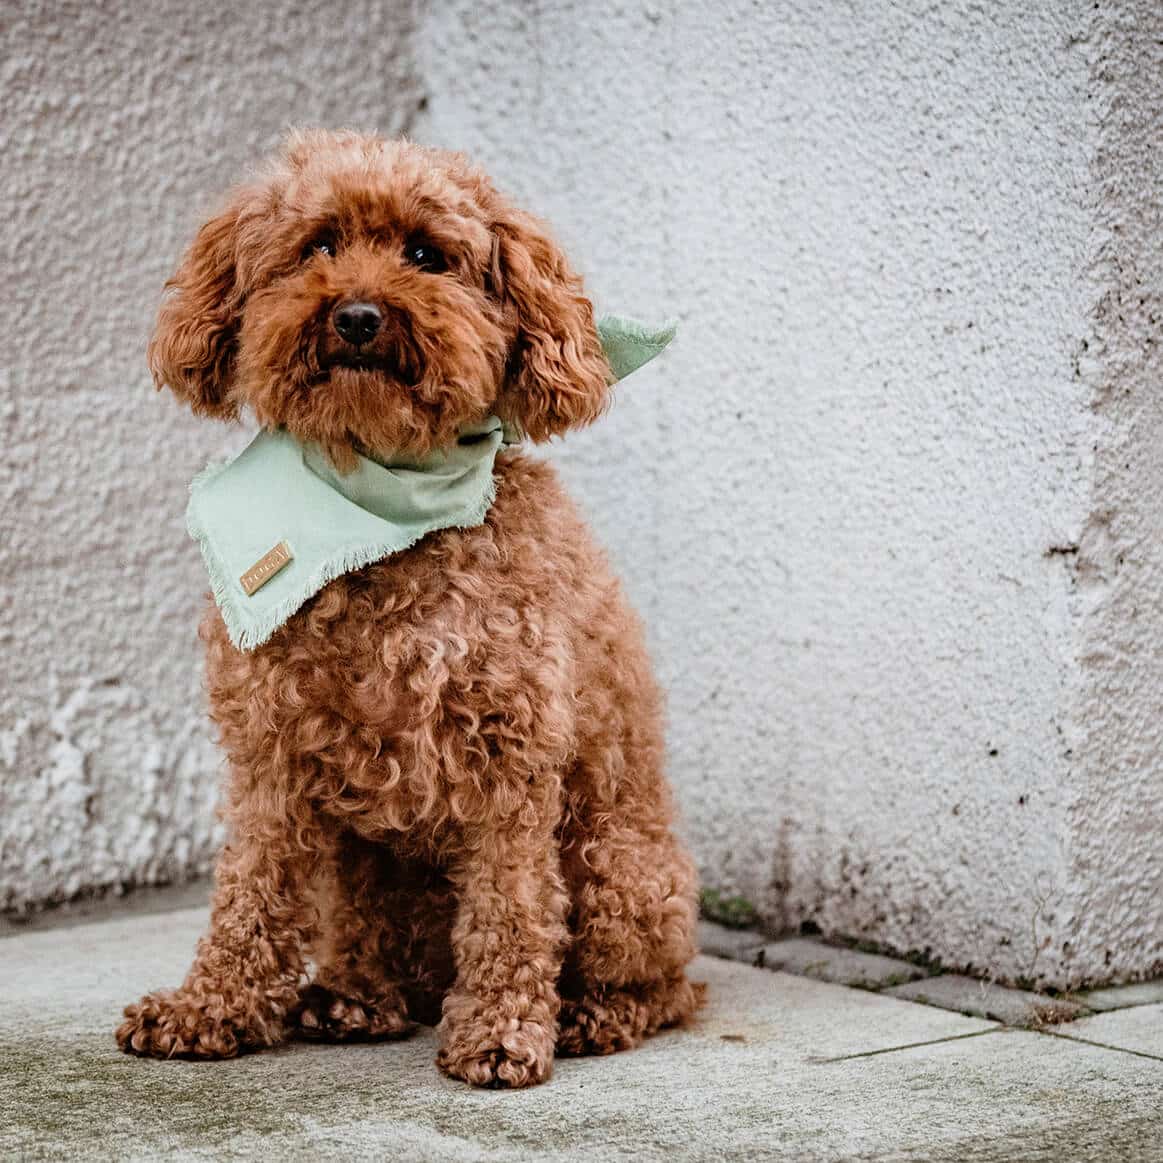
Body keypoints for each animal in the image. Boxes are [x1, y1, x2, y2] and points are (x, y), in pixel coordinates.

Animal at [115, 132, 697, 1083]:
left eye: (427, 255)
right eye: (316, 245)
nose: (356, 316)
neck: (375, 507)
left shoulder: (512, 755)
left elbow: (511, 905)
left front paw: (501, 1029)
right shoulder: (270, 754)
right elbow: (249, 888)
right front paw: (210, 1006)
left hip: (617, 870)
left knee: (669, 984)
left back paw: (589, 1013)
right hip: (363, 868)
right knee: (373, 942)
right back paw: (354, 994)